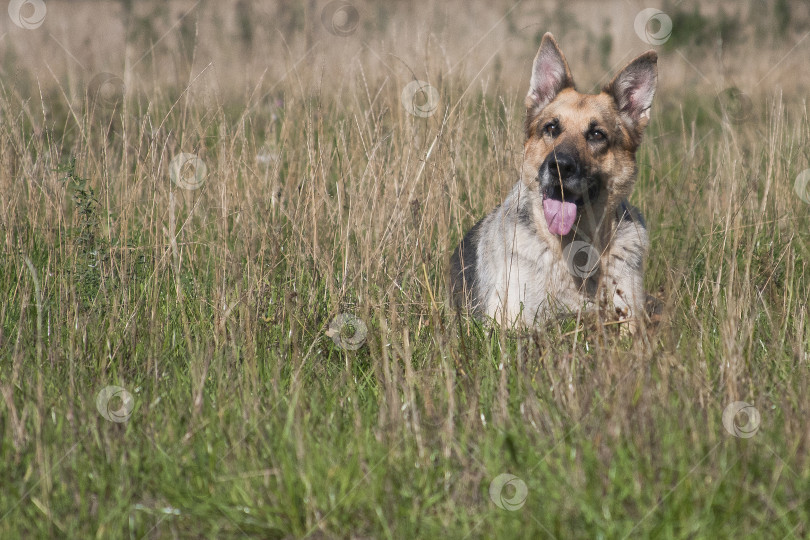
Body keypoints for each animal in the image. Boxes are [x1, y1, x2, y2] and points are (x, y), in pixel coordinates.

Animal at [448, 33, 656, 334]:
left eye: (596, 134)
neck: (575, 246)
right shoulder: (513, 325)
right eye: (552, 128)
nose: (559, 166)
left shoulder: (631, 321)